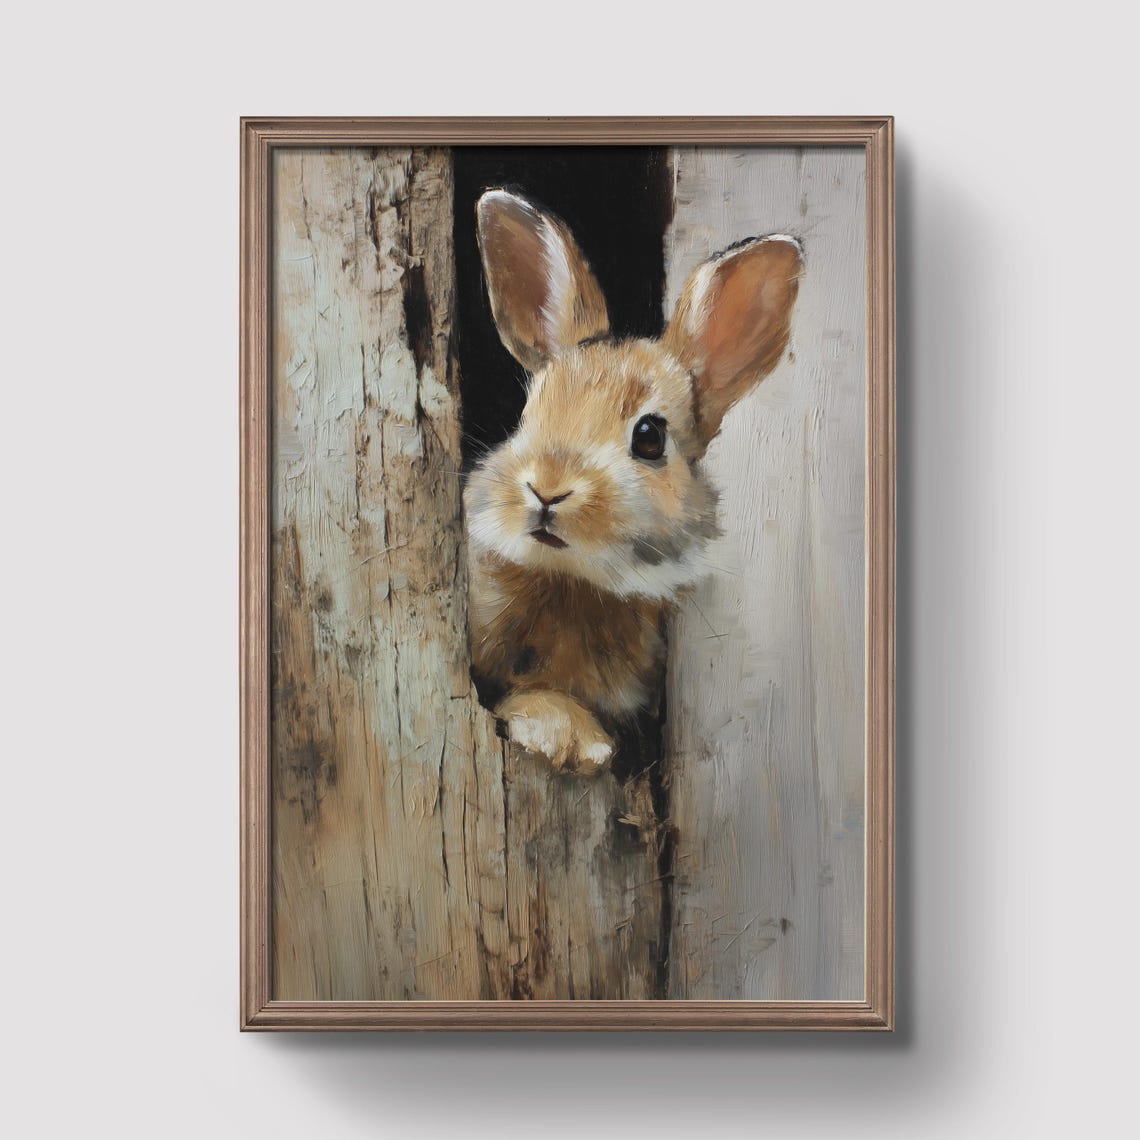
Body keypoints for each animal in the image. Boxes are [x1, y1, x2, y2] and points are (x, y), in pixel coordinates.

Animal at [464, 190, 803, 775]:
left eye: (649, 437)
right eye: (527, 413)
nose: (548, 488)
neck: (570, 581)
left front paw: (573, 739)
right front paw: (565, 736)